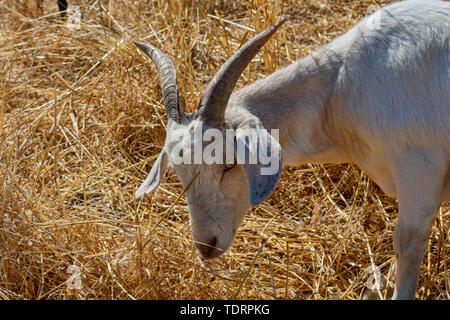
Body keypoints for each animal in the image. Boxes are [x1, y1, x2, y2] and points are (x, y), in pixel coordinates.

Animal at [134, 0, 450, 300]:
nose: (205, 246)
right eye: (179, 173)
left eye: (229, 164)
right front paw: (377, 285)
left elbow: (407, 242)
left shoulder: (418, 169)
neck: (339, 89)